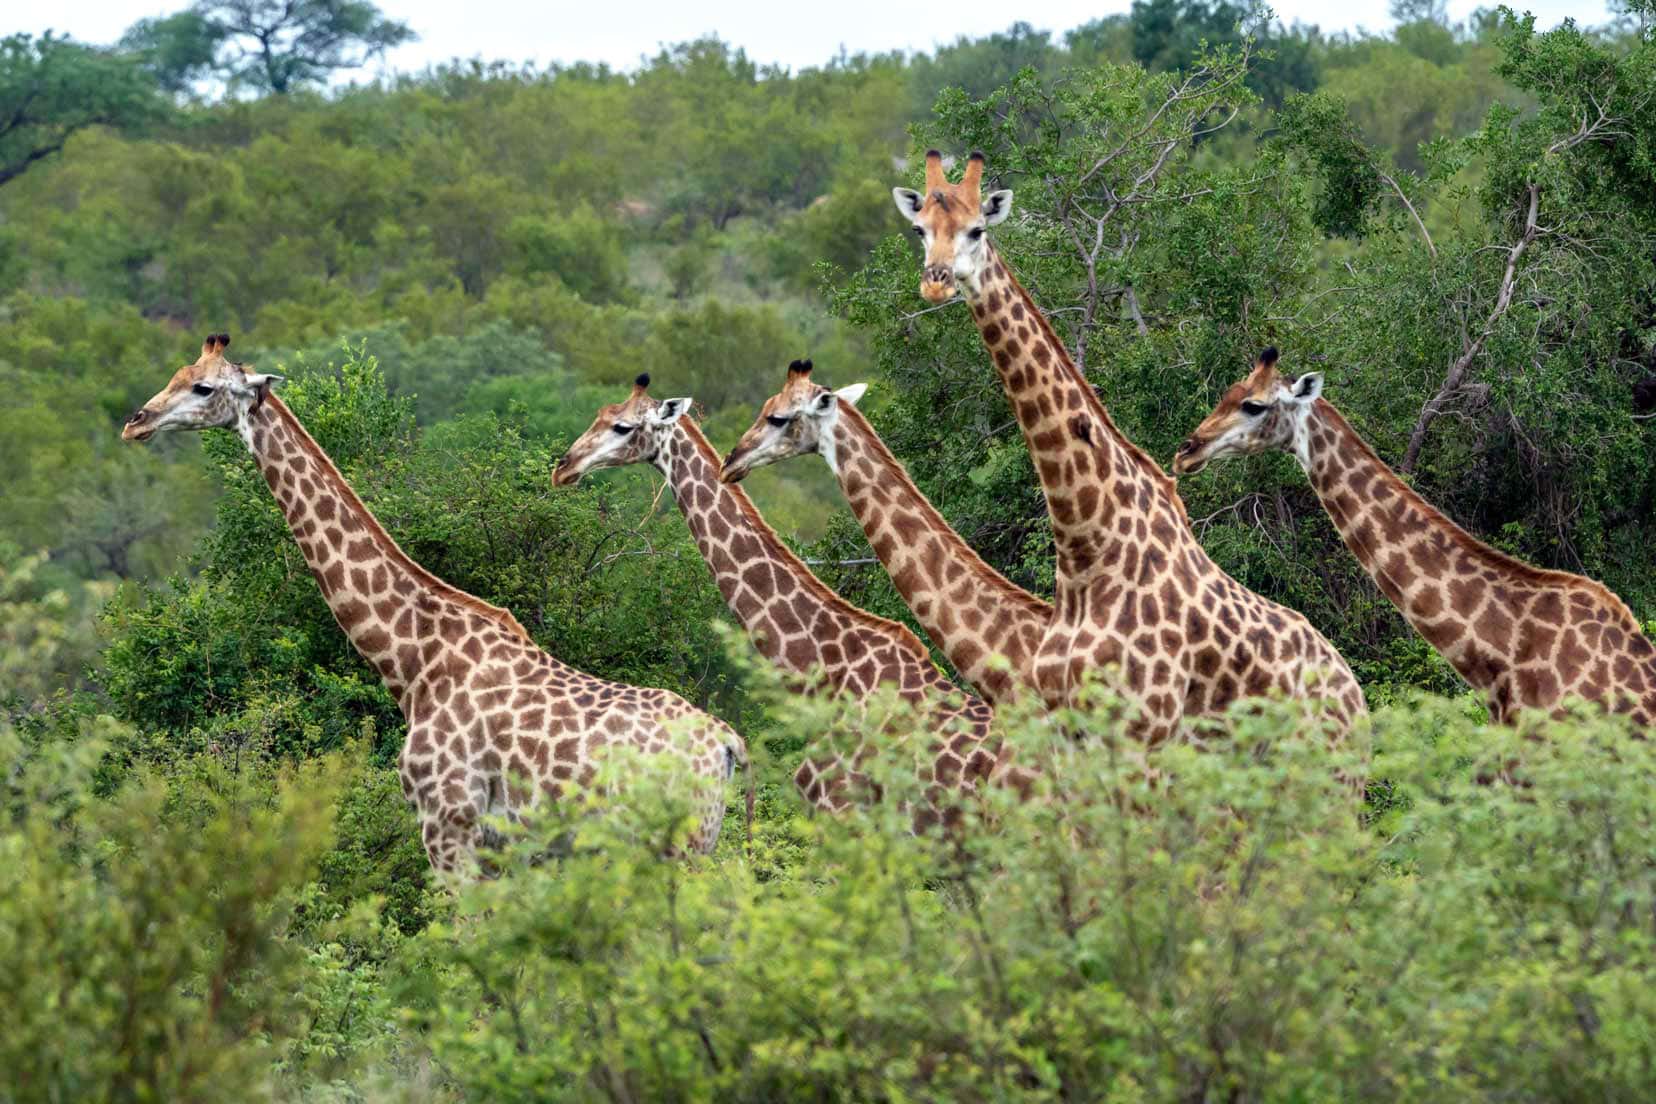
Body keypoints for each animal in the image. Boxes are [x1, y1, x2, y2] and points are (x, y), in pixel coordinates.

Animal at [125, 334, 748, 873]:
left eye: (203, 388)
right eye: (177, 374)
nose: (137, 422)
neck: (412, 659)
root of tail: (727, 744)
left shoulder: (447, 825)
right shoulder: (502, 846)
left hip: (674, 847)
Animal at [900, 151, 1364, 741]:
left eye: (977, 229)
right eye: (920, 229)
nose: (935, 284)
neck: (1085, 549)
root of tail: (1355, 692)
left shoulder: (1142, 727)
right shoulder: (1065, 728)